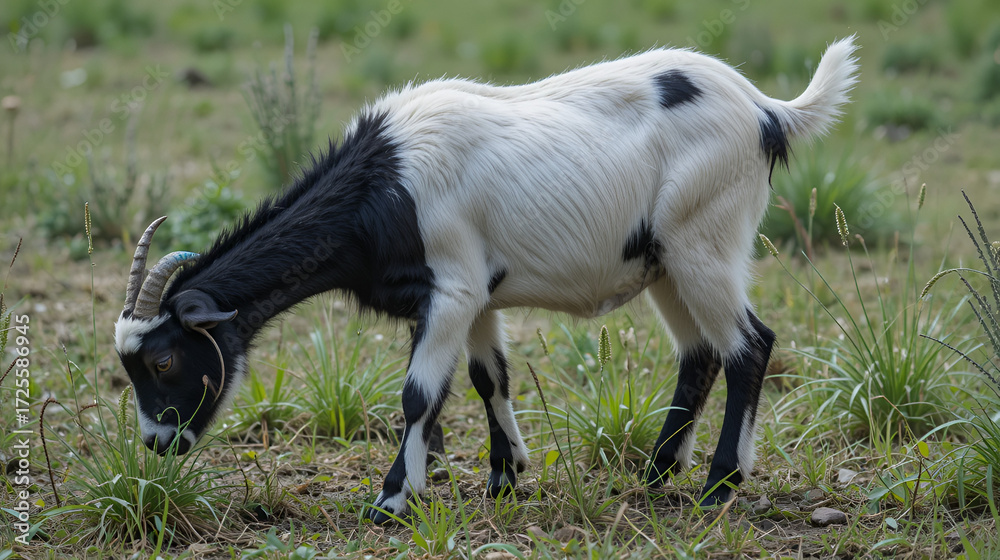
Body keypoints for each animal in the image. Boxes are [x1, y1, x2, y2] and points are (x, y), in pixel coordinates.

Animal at [114, 37, 858, 523]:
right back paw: (655, 474)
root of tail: (767, 110)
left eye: (163, 359)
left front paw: (392, 499)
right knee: (700, 354)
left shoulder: (453, 288)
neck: (383, 185)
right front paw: (506, 475)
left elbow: (419, 394)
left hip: (704, 242)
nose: (158, 443)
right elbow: (486, 377)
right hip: (665, 263)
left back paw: (718, 484)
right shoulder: (477, 295)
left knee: (749, 345)